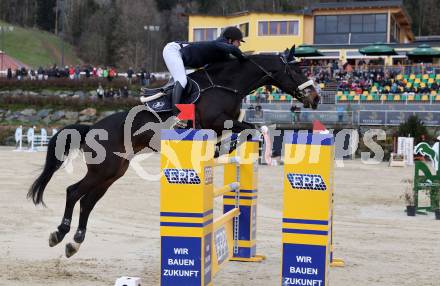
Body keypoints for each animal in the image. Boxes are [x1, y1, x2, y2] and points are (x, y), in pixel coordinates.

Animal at [27, 45, 320, 258]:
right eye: (297, 70)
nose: (315, 98)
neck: (228, 84)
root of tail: (92, 128)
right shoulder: (216, 121)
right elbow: (250, 129)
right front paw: (219, 150)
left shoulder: (222, 124)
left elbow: (251, 130)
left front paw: (220, 149)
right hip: (103, 170)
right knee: (73, 192)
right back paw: (59, 234)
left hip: (112, 173)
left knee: (87, 201)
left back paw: (74, 243)